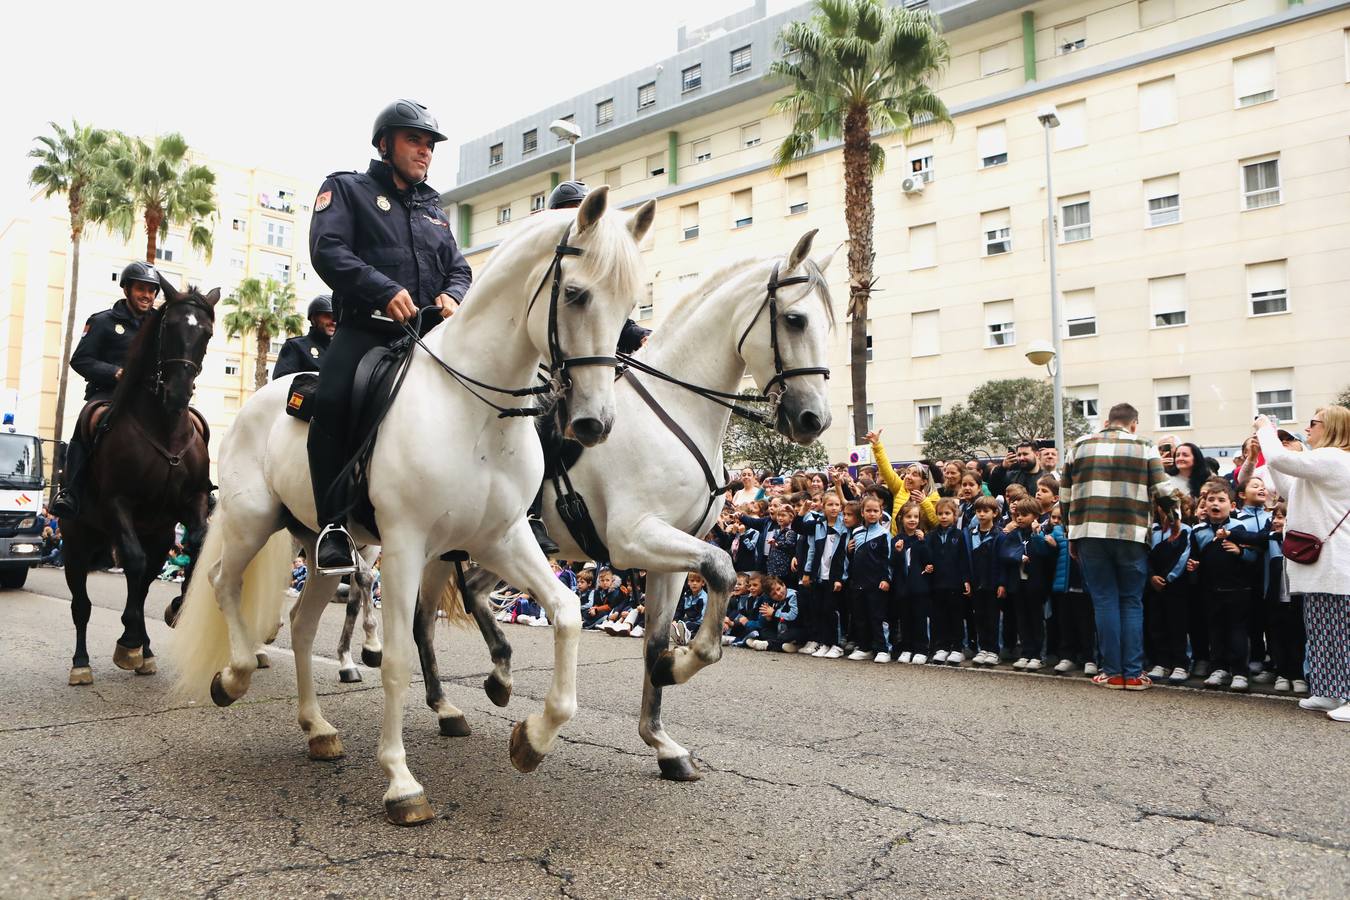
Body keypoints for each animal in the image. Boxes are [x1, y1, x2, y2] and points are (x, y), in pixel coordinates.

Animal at [61, 279, 217, 682]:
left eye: (206, 332)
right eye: (170, 327)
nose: (178, 393)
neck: (166, 429)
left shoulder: (192, 502)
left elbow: (198, 545)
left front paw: (177, 607)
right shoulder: (119, 503)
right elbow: (131, 560)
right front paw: (128, 637)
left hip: (158, 536)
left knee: (144, 584)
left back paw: (145, 651)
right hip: (76, 545)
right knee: (82, 605)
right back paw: (82, 663)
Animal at [171, 188, 656, 825]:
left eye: (629, 303)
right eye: (575, 294)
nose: (594, 423)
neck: (474, 412)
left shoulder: (502, 538)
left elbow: (569, 612)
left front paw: (532, 737)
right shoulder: (406, 545)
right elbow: (398, 658)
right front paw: (401, 781)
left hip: (325, 550)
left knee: (300, 627)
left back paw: (316, 728)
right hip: (251, 522)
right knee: (224, 583)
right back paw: (235, 676)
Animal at [383, 232, 831, 782]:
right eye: (795, 319)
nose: (814, 419)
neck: (675, 410)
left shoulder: (672, 555)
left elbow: (659, 637)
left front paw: (662, 741)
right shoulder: (634, 537)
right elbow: (723, 569)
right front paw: (681, 666)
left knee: (474, 593)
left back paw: (498, 675)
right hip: (436, 548)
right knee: (424, 619)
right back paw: (446, 705)